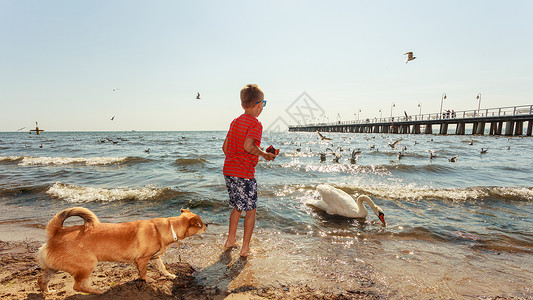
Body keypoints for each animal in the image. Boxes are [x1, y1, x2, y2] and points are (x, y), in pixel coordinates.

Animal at [37, 207, 206, 294]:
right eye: (201, 224)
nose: (208, 225)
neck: (169, 228)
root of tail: (57, 232)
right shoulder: (142, 260)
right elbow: (143, 272)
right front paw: (147, 280)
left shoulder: (155, 258)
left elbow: (162, 267)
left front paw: (169, 275)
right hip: (88, 265)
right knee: (77, 286)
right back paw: (98, 290)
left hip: (52, 267)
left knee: (42, 280)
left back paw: (47, 292)